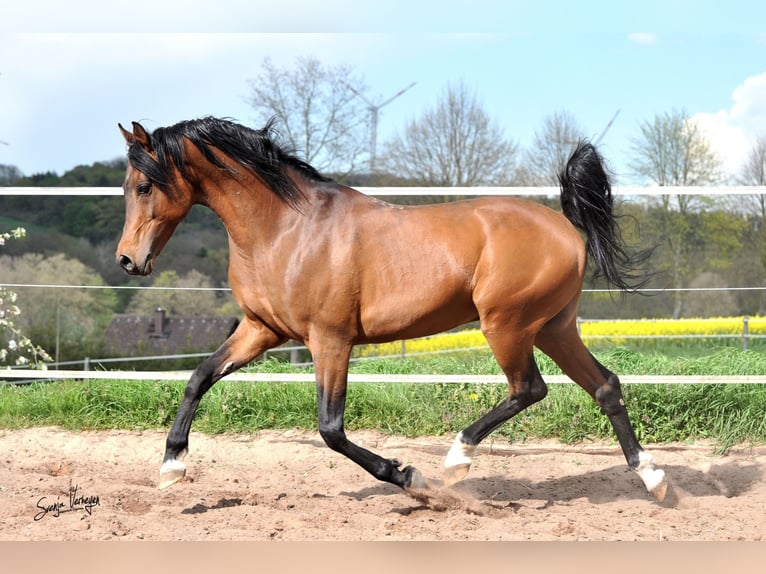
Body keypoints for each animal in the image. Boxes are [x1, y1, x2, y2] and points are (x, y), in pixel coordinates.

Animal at [117, 117, 668, 504]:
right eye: (125, 186)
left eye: (145, 186)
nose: (128, 260)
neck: (288, 228)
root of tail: (565, 226)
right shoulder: (262, 330)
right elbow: (199, 378)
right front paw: (171, 468)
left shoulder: (330, 340)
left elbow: (331, 428)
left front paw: (408, 475)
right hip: (553, 327)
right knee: (605, 386)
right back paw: (654, 478)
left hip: (507, 325)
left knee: (529, 388)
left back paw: (456, 460)